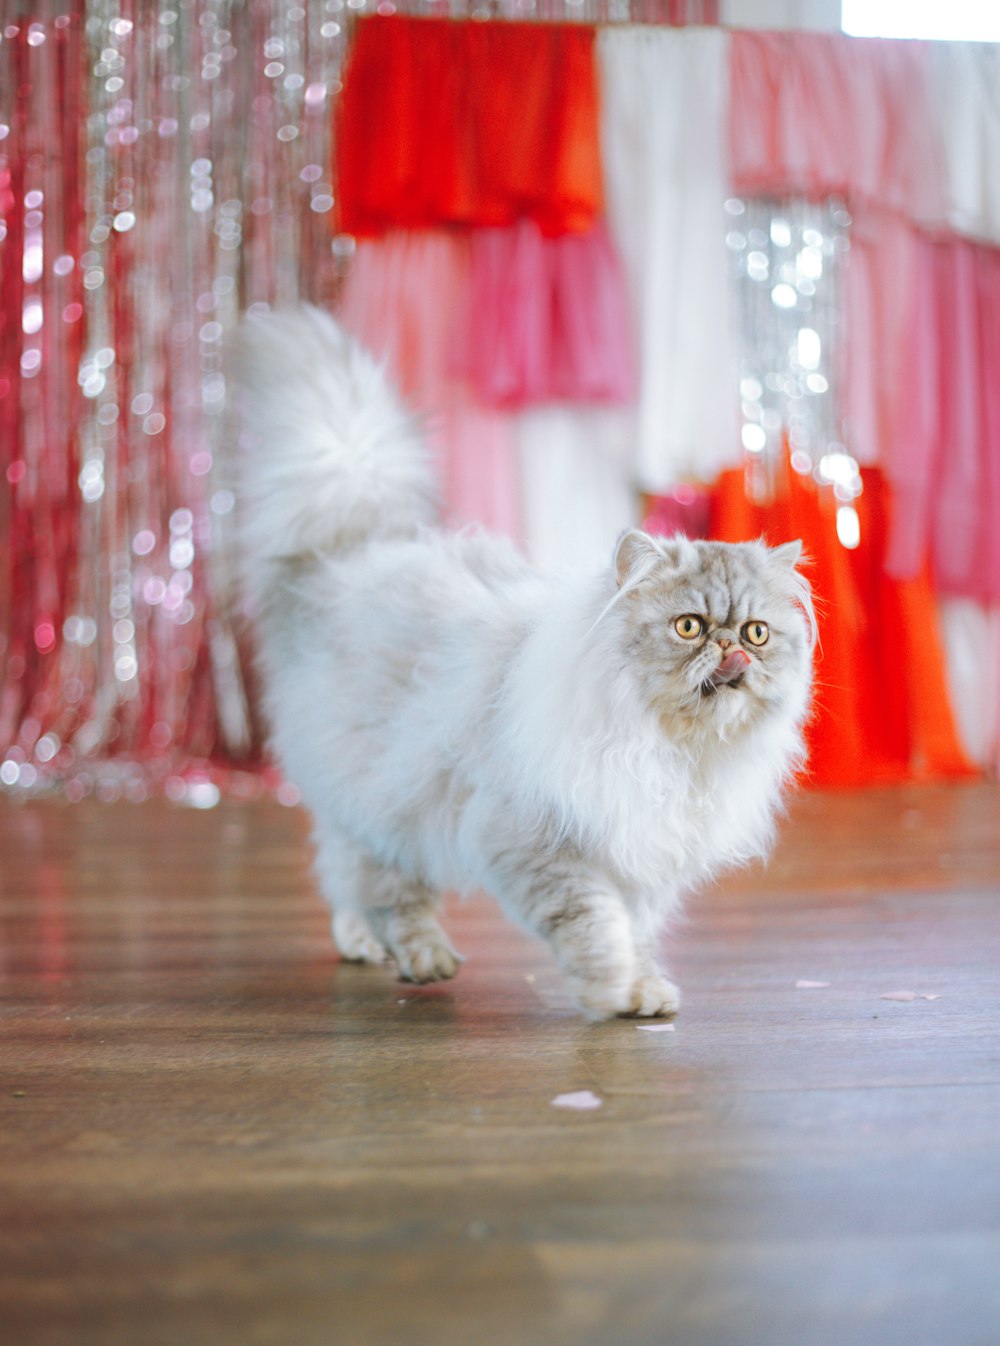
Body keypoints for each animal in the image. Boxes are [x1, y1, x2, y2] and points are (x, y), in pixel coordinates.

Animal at [238, 308, 818, 1017]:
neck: (672, 749)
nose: (731, 649)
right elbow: (596, 925)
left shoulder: (640, 855)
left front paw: (646, 991)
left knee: (344, 876)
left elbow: (637, 931)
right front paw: (612, 988)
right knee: (385, 888)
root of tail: (350, 556)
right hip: (387, 795)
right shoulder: (539, 840)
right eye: (689, 628)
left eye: (757, 634)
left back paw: (363, 945)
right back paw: (423, 959)